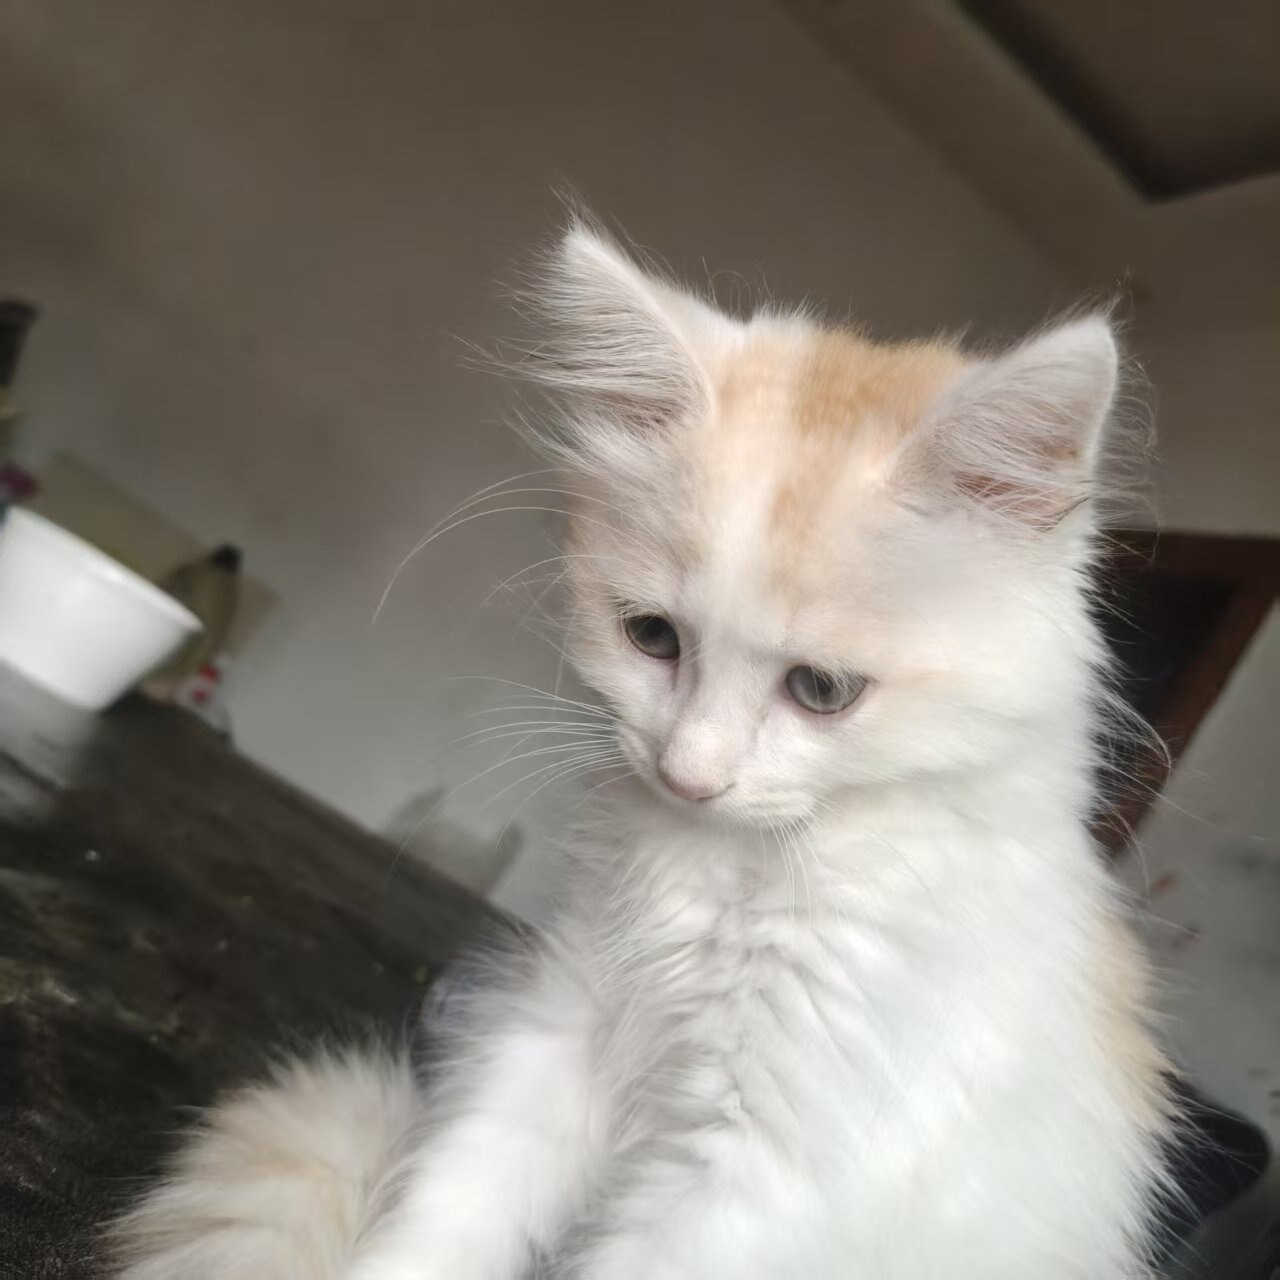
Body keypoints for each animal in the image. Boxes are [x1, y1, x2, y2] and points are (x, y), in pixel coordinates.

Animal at [111, 217, 1172, 1279]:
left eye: (822, 692)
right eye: (652, 637)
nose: (687, 776)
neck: (725, 874)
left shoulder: (758, 1175)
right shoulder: (558, 1034)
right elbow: (444, 1218)